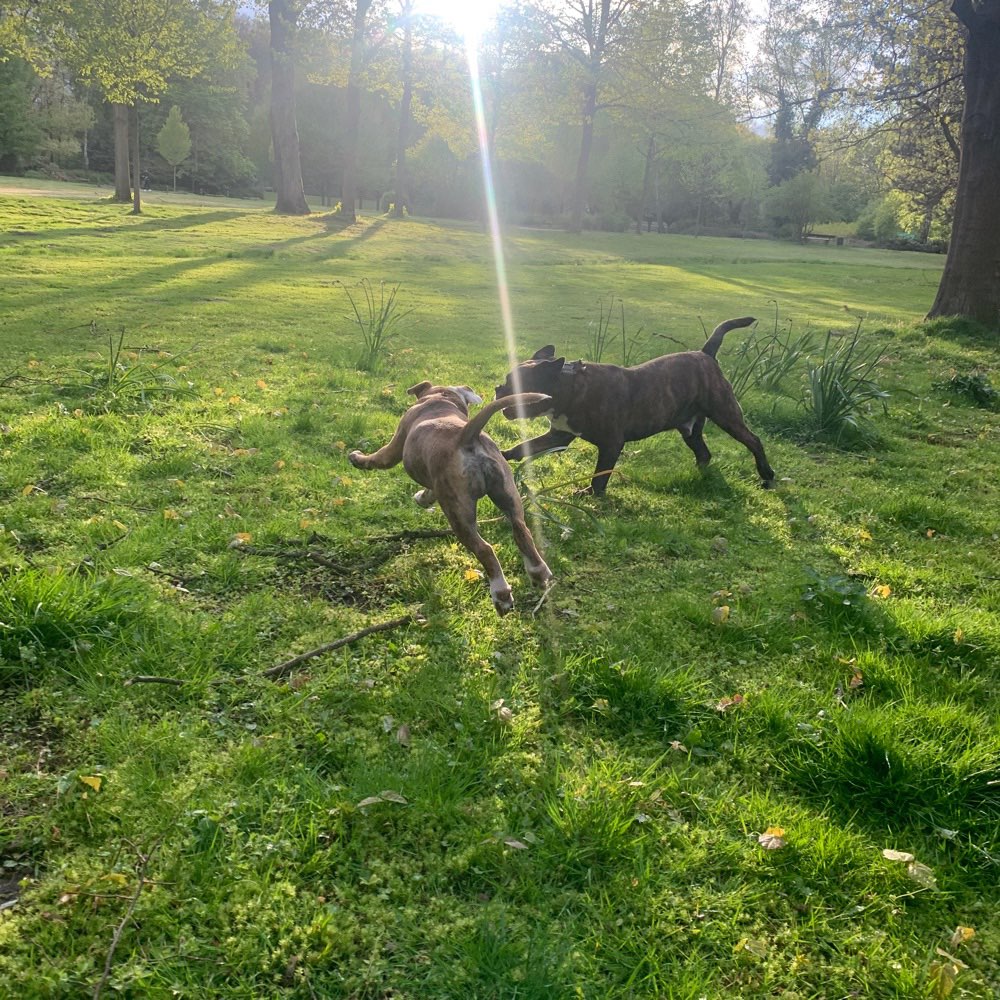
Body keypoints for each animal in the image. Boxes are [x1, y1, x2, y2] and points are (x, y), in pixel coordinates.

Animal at [350, 384, 556, 612]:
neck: (441, 399)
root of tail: (466, 436)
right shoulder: (435, 482)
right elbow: (429, 491)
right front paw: (422, 498)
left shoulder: (394, 447)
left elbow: (378, 458)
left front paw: (357, 457)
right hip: (508, 494)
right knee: (522, 531)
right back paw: (538, 572)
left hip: (458, 512)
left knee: (485, 549)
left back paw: (501, 593)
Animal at [496, 318, 776, 494]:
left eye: (516, 386)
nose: (498, 389)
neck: (570, 386)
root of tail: (705, 353)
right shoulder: (558, 436)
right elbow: (522, 448)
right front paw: (500, 455)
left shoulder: (611, 444)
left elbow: (601, 474)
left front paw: (590, 494)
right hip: (690, 429)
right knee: (704, 452)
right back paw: (700, 474)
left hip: (726, 415)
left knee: (753, 440)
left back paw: (767, 475)